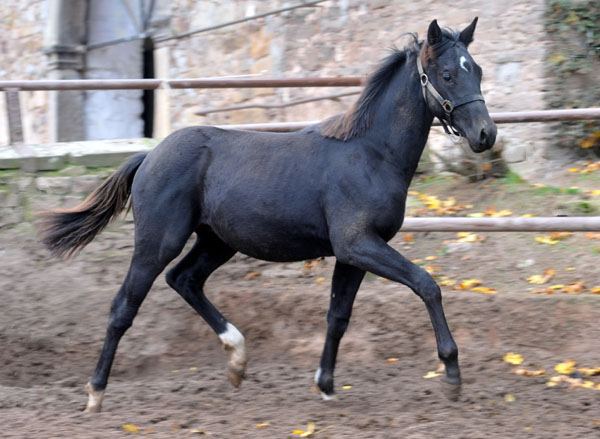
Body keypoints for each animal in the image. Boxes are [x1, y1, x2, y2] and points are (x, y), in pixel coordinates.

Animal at [38, 18, 496, 414]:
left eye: (477, 70)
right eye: (448, 75)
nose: (486, 134)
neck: (370, 154)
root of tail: (149, 156)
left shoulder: (352, 253)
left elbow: (338, 316)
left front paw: (325, 386)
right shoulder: (358, 244)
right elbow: (427, 285)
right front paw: (452, 375)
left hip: (215, 242)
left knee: (184, 279)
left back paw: (237, 360)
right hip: (157, 242)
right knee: (124, 307)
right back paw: (95, 394)